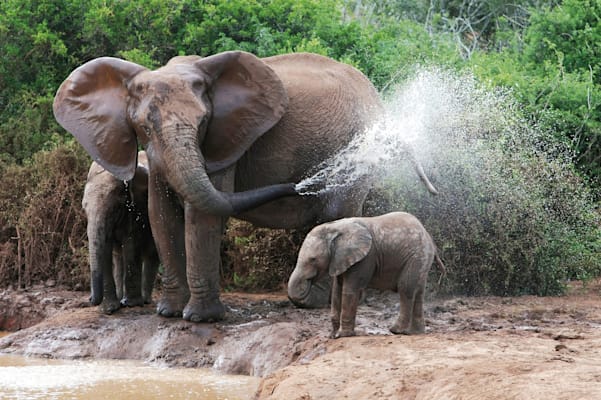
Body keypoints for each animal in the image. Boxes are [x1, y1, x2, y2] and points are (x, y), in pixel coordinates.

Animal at [84, 152, 161, 314]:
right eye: (84, 209)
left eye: (114, 208)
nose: (89, 298)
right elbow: (106, 248)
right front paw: (109, 309)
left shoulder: (136, 206)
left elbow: (131, 243)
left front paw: (131, 304)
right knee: (118, 257)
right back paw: (121, 299)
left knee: (151, 253)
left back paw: (143, 300)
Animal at [288, 211, 442, 340]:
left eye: (313, 259)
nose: (308, 282)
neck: (335, 227)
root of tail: (428, 236)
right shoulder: (340, 259)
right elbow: (337, 291)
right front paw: (332, 336)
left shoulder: (365, 258)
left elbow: (349, 290)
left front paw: (344, 335)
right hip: (421, 259)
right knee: (418, 292)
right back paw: (416, 332)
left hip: (416, 256)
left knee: (406, 288)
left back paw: (396, 330)